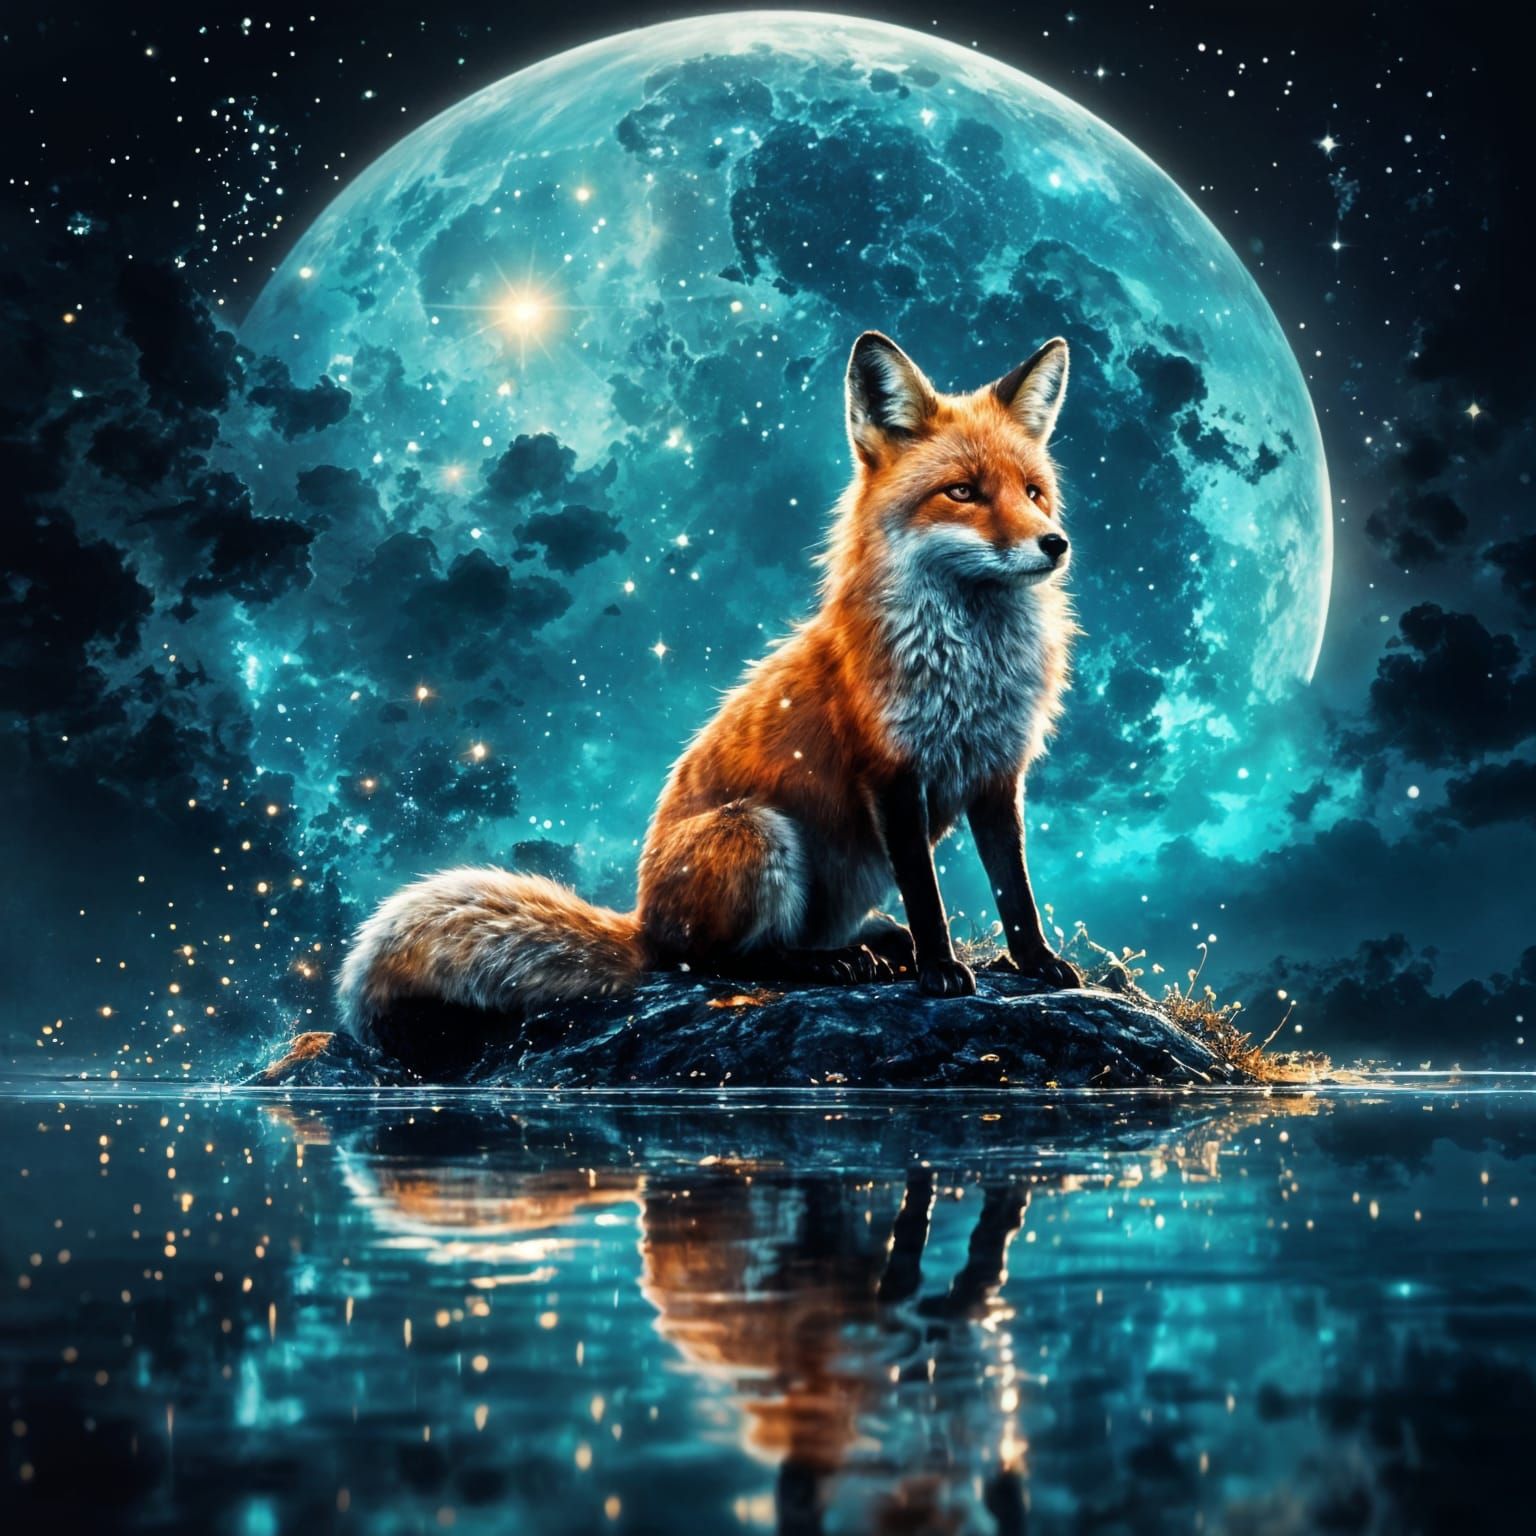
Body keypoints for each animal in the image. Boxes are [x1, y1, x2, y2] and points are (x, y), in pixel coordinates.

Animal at [337, 329, 1084, 1043]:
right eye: (962, 492)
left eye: (1034, 492)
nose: (1055, 543)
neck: (972, 664)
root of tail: (644, 923)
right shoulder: (891, 773)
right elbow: (927, 896)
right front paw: (940, 971)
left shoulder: (997, 772)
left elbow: (1015, 890)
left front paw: (1038, 965)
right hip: (756, 831)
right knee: (723, 960)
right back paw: (831, 962)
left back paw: (873, 942)